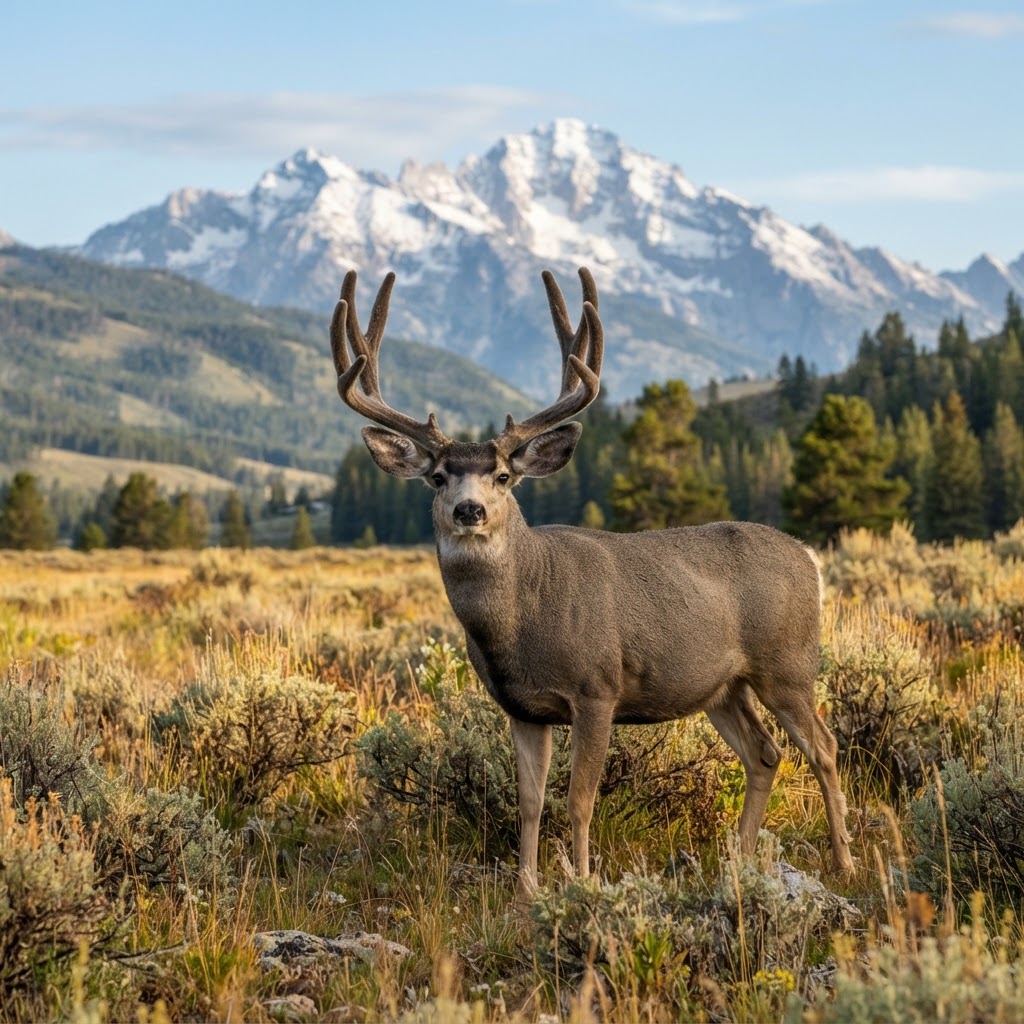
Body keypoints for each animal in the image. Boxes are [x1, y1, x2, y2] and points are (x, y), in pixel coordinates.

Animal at [329, 267, 854, 900]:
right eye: (436, 477)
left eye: (502, 476)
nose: (468, 511)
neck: (522, 621)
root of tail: (810, 557)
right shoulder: (523, 707)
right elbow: (531, 803)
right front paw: (526, 890)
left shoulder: (598, 687)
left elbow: (580, 802)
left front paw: (581, 884)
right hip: (723, 687)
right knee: (765, 754)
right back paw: (741, 862)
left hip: (788, 663)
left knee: (824, 748)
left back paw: (846, 864)